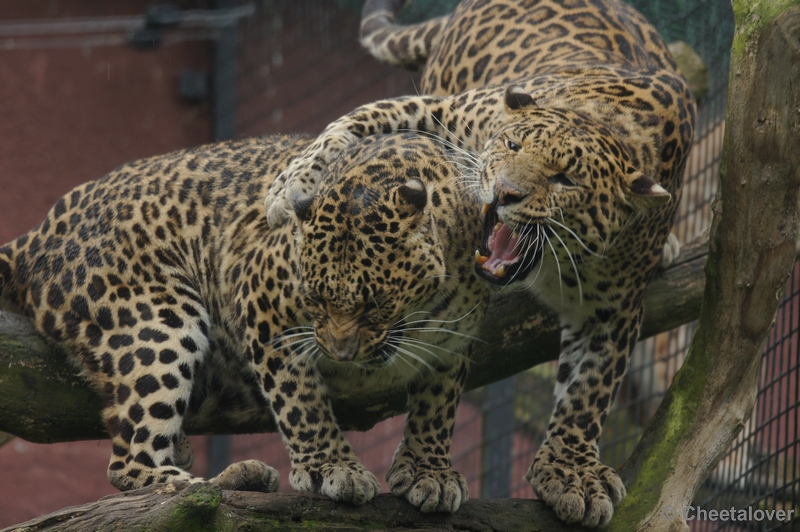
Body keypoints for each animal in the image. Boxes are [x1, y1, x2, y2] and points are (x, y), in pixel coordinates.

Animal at [0, 131, 488, 512]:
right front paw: (332, 466)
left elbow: (438, 408)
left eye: (375, 304)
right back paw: (228, 481)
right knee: (134, 464)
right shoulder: (260, 302)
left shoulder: (454, 343)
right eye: (315, 298)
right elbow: (301, 401)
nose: (340, 352)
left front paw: (430, 471)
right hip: (160, 320)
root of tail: (38, 231)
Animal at [262, 0, 692, 524]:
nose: (506, 192)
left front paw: (573, 471)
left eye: (565, 179)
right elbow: (352, 122)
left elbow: (590, 390)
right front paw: (290, 187)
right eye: (512, 146)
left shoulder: (614, 307)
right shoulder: (442, 111)